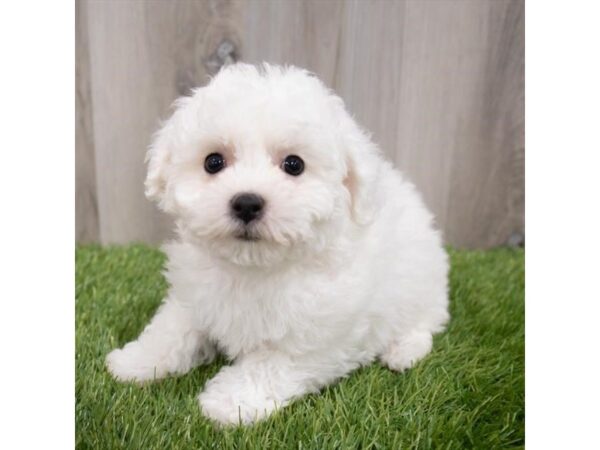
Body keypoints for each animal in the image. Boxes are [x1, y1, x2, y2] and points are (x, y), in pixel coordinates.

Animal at [105, 62, 448, 426]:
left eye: (294, 164)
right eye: (213, 162)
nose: (246, 203)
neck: (253, 266)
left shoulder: (315, 337)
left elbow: (269, 364)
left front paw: (230, 402)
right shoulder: (195, 295)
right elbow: (172, 328)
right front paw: (137, 360)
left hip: (421, 286)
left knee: (424, 323)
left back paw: (402, 352)